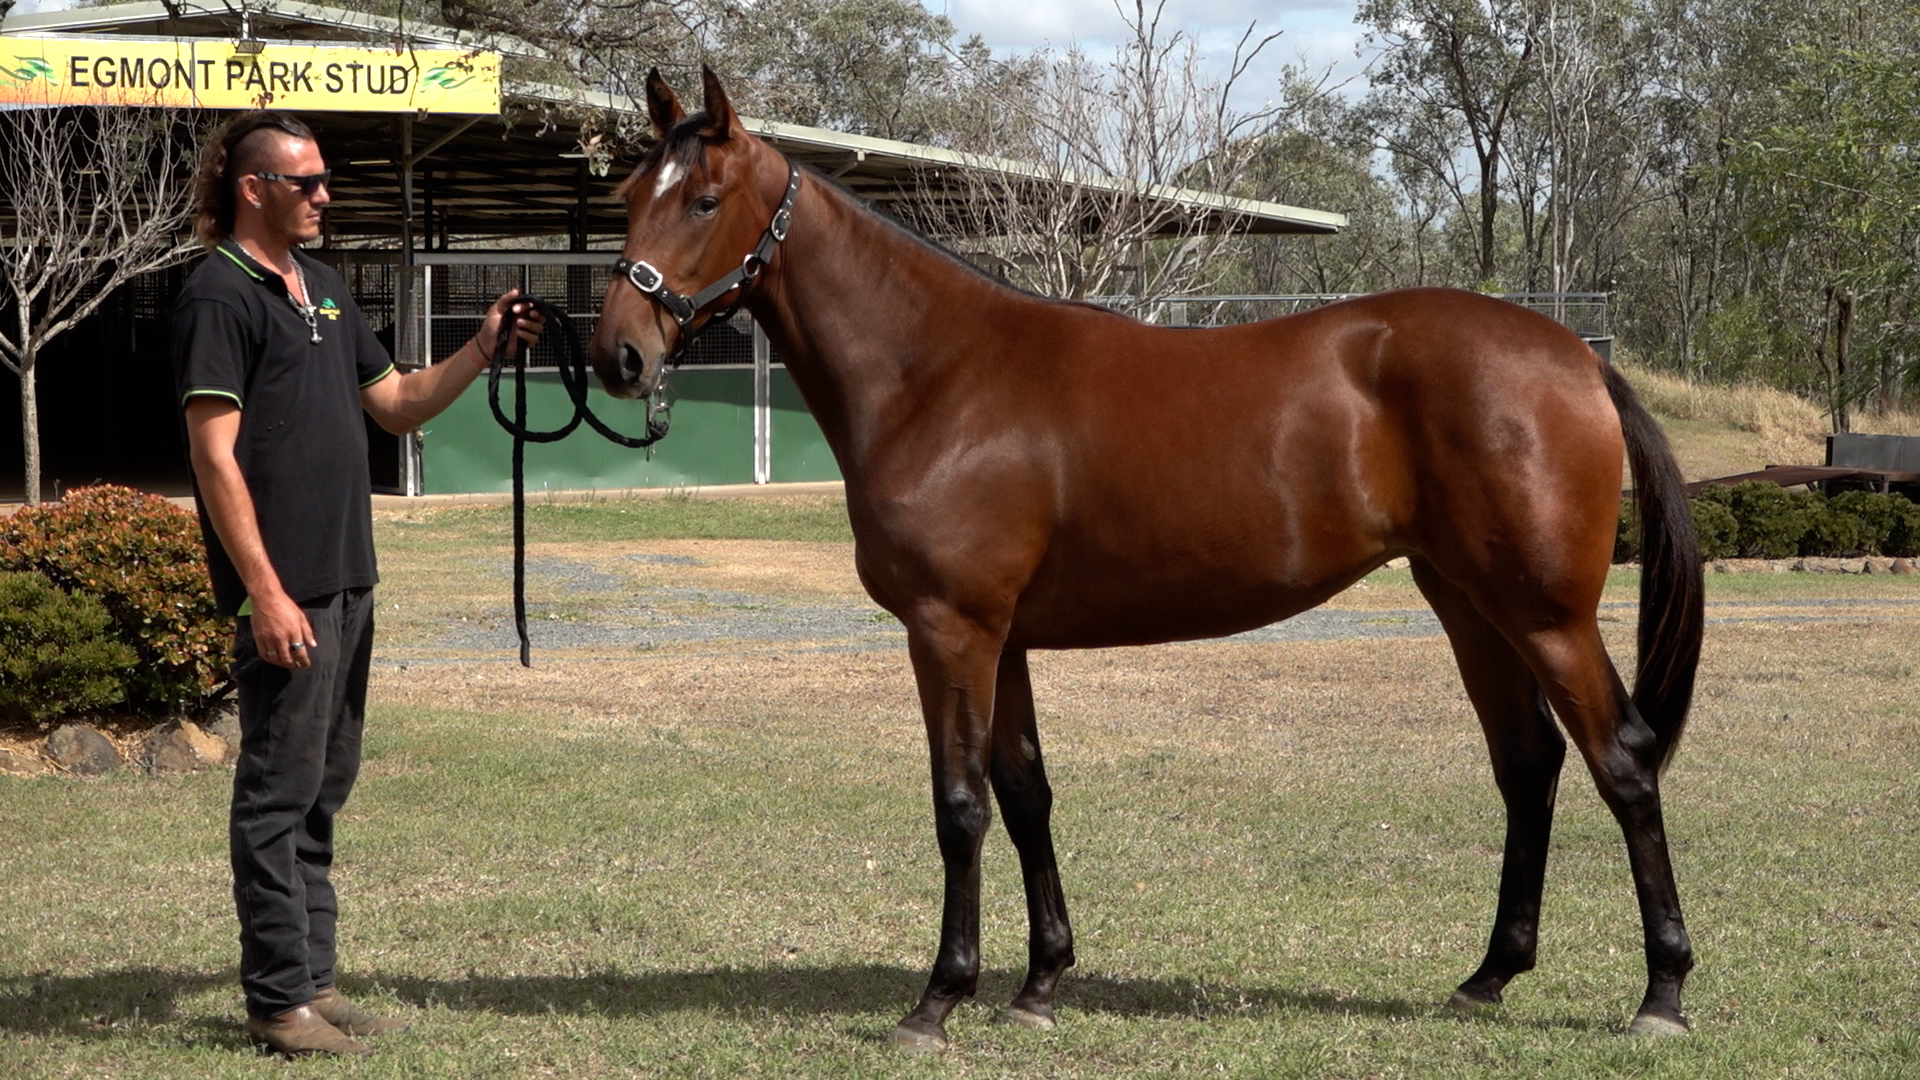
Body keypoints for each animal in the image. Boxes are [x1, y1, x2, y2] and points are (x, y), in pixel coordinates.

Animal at [588, 68, 1705, 1051]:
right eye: (625, 198)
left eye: (704, 199)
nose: (618, 355)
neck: (939, 374)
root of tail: (1577, 356)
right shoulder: (1005, 640)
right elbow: (1026, 794)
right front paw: (1039, 986)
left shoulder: (951, 629)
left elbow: (961, 807)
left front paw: (937, 1002)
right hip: (1468, 603)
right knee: (1528, 763)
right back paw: (1488, 977)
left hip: (1545, 615)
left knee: (1621, 761)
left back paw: (1661, 995)